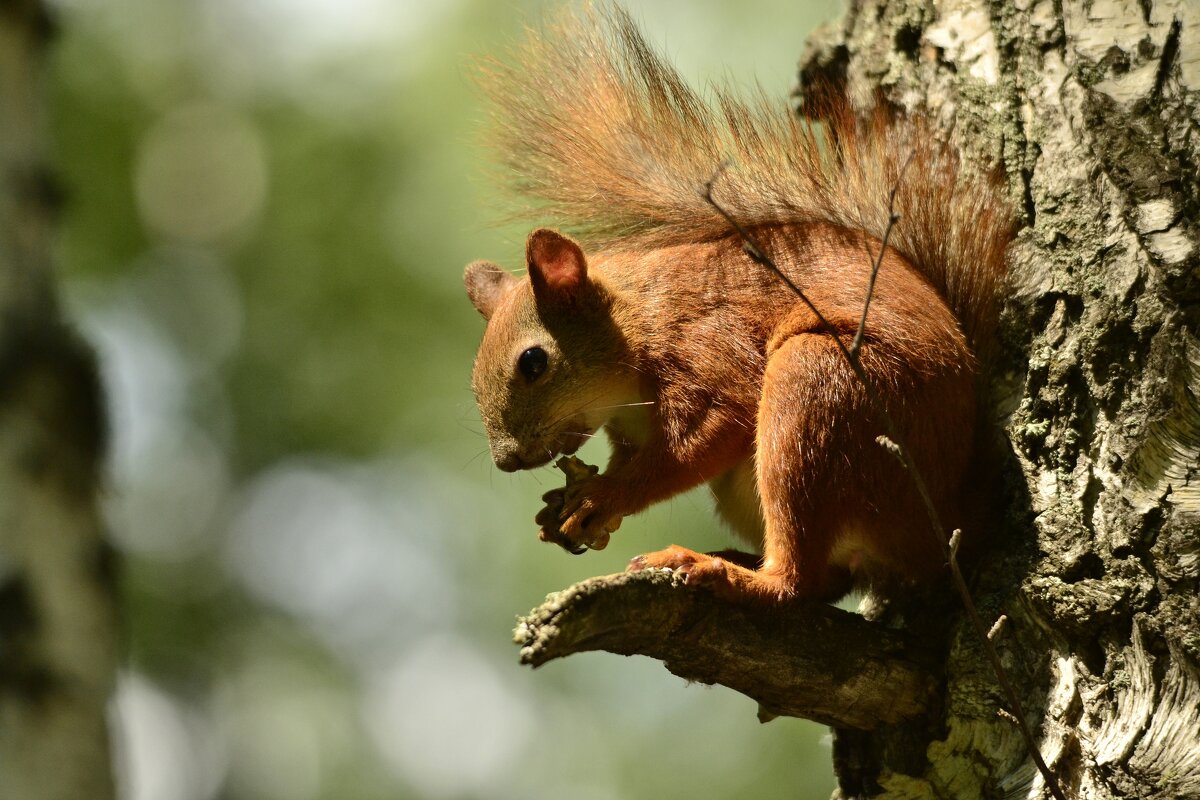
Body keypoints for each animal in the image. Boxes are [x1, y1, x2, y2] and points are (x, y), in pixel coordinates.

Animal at [463, 4, 1008, 599]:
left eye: (533, 362)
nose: (507, 461)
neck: (634, 324)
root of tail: (950, 518)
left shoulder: (708, 350)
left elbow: (701, 441)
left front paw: (602, 496)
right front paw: (560, 507)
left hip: (820, 395)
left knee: (796, 582)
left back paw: (718, 569)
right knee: (828, 581)